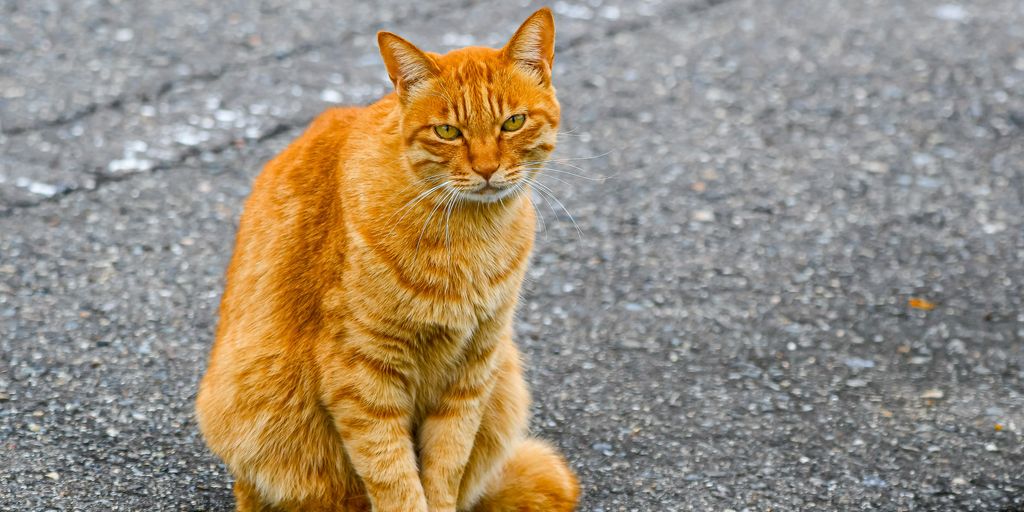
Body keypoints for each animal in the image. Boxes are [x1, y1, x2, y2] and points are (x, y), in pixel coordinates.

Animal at [192, 9, 577, 512]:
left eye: (512, 123)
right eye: (448, 131)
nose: (487, 169)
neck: (470, 235)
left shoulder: (473, 368)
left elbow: (446, 467)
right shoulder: (362, 372)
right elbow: (394, 477)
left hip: (504, 382)